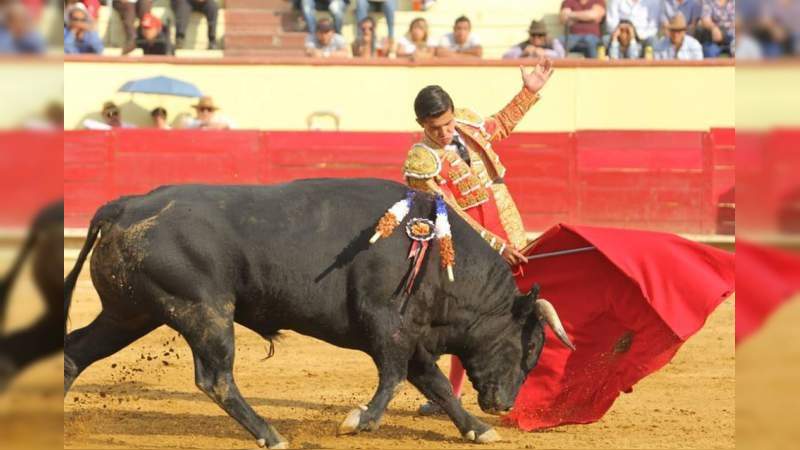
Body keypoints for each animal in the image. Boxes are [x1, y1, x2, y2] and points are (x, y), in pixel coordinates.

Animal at [64, 178, 576, 446]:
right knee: (216, 378)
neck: (435, 255)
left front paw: (477, 428)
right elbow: (393, 377)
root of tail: (124, 206)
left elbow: (434, 384)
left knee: (74, 352)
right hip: (205, 311)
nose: (504, 404)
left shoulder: (410, 335)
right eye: (530, 346)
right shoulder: (386, 324)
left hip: (130, 314)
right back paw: (270, 434)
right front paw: (359, 421)